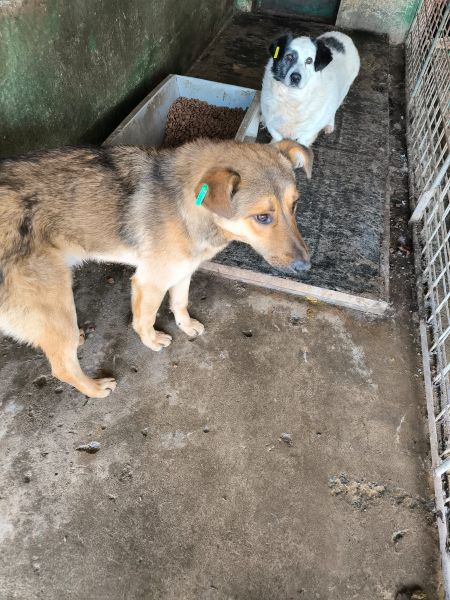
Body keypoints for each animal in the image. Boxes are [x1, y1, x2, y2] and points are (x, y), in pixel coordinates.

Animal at [0, 139, 312, 397]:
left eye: (295, 205)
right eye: (262, 217)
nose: (306, 267)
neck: (190, 206)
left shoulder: (183, 270)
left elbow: (180, 302)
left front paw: (186, 325)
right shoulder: (150, 281)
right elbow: (145, 318)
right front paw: (151, 341)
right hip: (54, 302)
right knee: (62, 366)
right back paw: (95, 389)